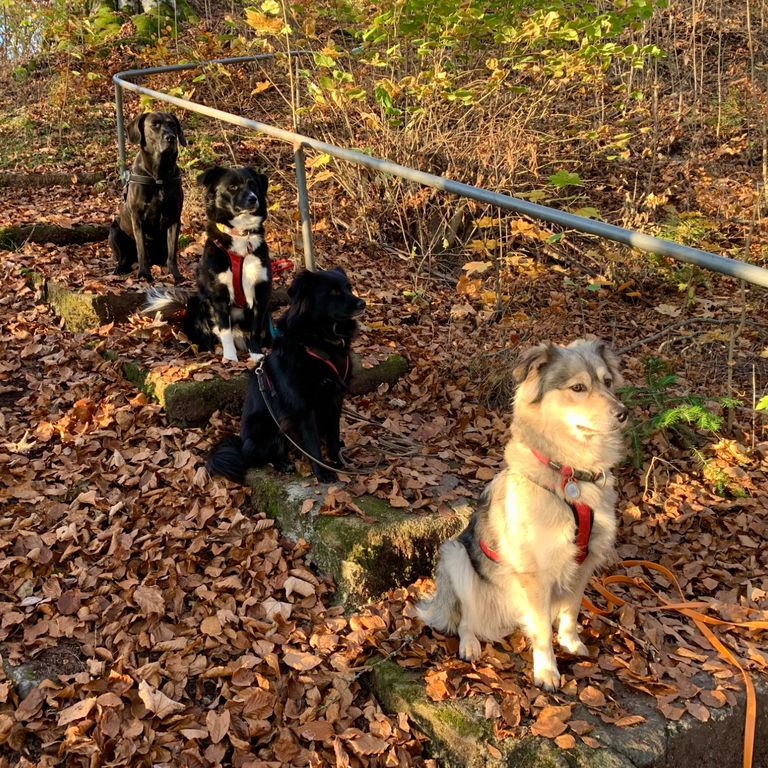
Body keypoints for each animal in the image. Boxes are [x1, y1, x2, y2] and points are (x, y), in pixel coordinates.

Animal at [109, 111, 186, 282]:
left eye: (172, 124)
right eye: (154, 125)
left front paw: (176, 274)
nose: (171, 137)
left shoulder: (174, 218)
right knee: (125, 257)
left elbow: (172, 252)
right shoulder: (138, 219)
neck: (159, 176)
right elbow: (142, 250)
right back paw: (120, 268)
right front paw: (144, 274)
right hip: (114, 231)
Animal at [144, 166, 272, 364]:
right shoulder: (218, 295)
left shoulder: (261, 292)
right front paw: (230, 358)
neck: (240, 237)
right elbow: (225, 331)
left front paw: (256, 354)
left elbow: (256, 329)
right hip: (199, 304)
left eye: (253, 185)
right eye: (233, 187)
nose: (253, 199)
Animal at [207, 268, 366, 484]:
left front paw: (339, 461)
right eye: (333, 292)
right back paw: (282, 463)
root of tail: (240, 442)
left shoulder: (334, 399)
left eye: (348, 288)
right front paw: (322, 471)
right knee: (257, 456)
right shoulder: (303, 407)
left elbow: (333, 434)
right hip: (265, 426)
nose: (362, 303)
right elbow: (313, 443)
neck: (318, 342)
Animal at [416, 340, 628, 692]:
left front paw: (570, 642)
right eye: (578, 388)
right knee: (465, 619)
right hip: (456, 556)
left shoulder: (583, 564)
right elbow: (542, 631)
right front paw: (546, 671)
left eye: (607, 382)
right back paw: (470, 644)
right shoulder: (534, 573)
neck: (569, 473)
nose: (623, 412)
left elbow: (571, 611)